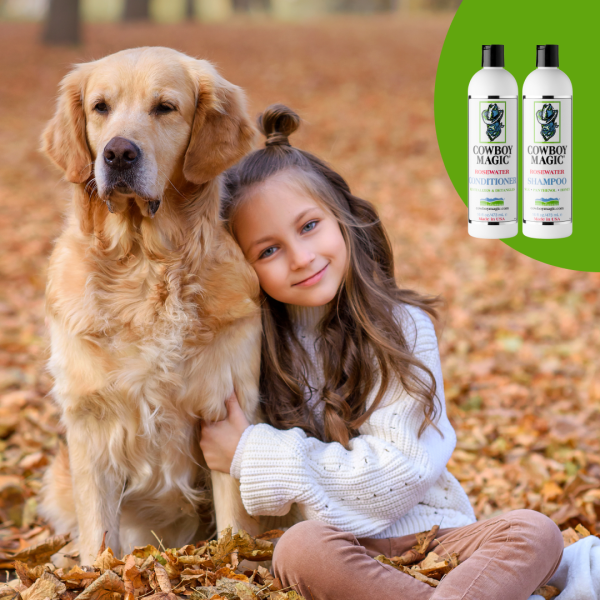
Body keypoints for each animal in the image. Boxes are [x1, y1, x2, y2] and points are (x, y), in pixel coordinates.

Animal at [38, 45, 262, 564]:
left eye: (165, 107)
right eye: (100, 107)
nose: (118, 153)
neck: (143, 266)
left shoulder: (226, 404)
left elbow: (235, 523)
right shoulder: (90, 419)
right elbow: (98, 532)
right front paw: (95, 570)